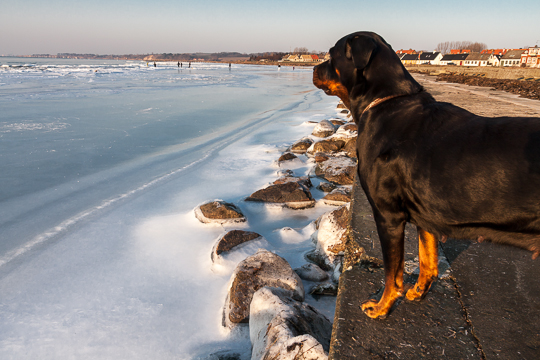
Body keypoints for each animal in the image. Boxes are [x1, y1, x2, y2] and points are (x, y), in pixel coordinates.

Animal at [314, 31, 540, 318]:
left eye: (331, 55)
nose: (312, 69)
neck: (386, 103)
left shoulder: (388, 216)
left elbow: (393, 272)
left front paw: (382, 307)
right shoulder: (426, 214)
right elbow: (428, 259)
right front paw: (419, 292)